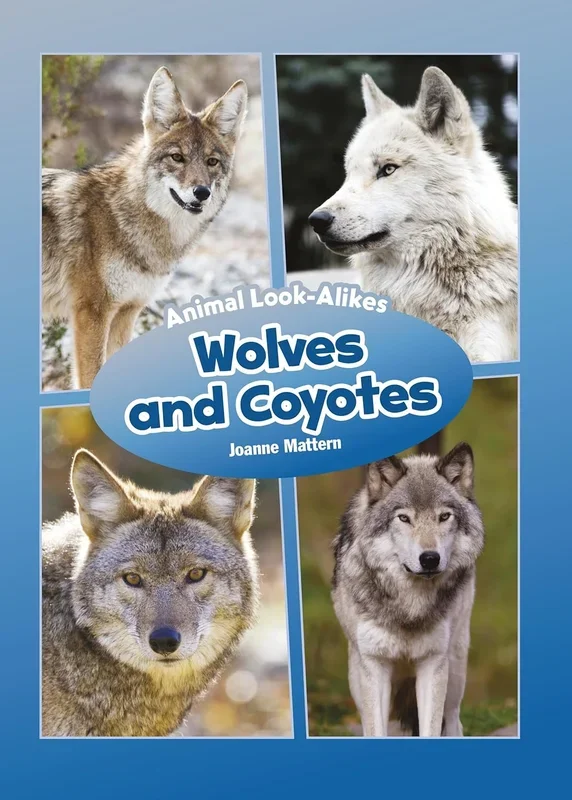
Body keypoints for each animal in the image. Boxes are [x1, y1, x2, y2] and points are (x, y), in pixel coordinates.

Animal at [332, 443, 484, 737]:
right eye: (404, 518)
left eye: (444, 516)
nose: (430, 558)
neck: (409, 608)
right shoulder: (374, 665)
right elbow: (376, 729)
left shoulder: (433, 664)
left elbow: (431, 729)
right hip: (357, 678)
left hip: (455, 671)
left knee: (453, 719)